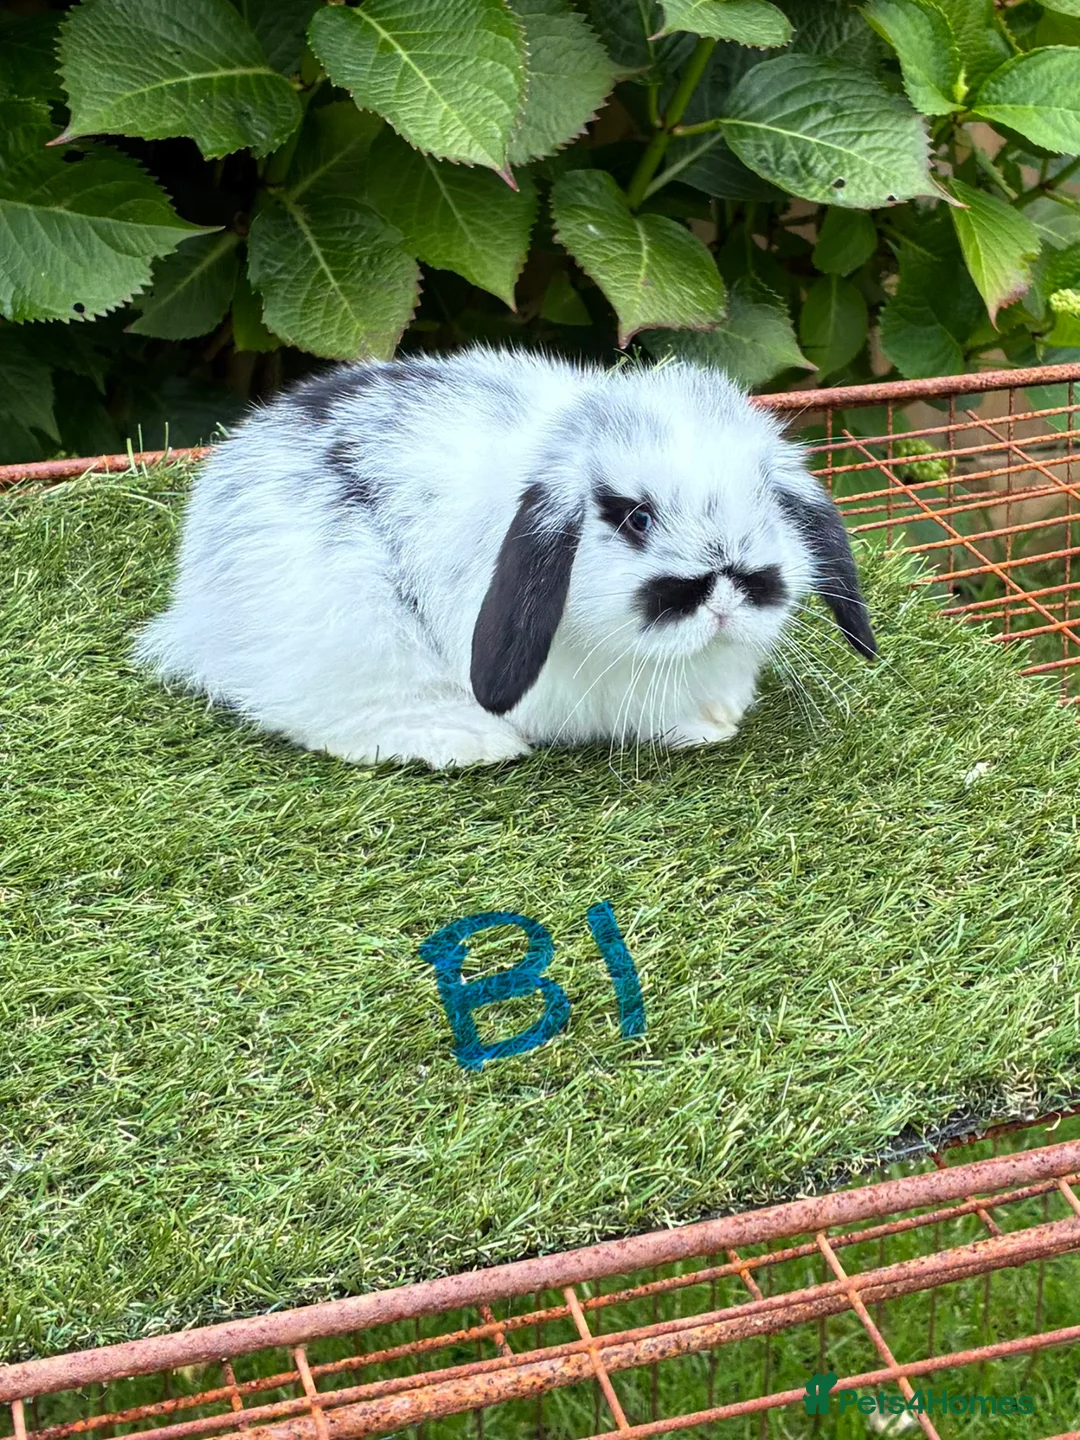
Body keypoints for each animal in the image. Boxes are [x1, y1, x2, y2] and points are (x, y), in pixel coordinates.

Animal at [133, 345, 876, 770]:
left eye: (767, 499)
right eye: (634, 517)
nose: (724, 591)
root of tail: (198, 612)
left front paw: (710, 724)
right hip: (350, 625)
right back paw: (464, 744)